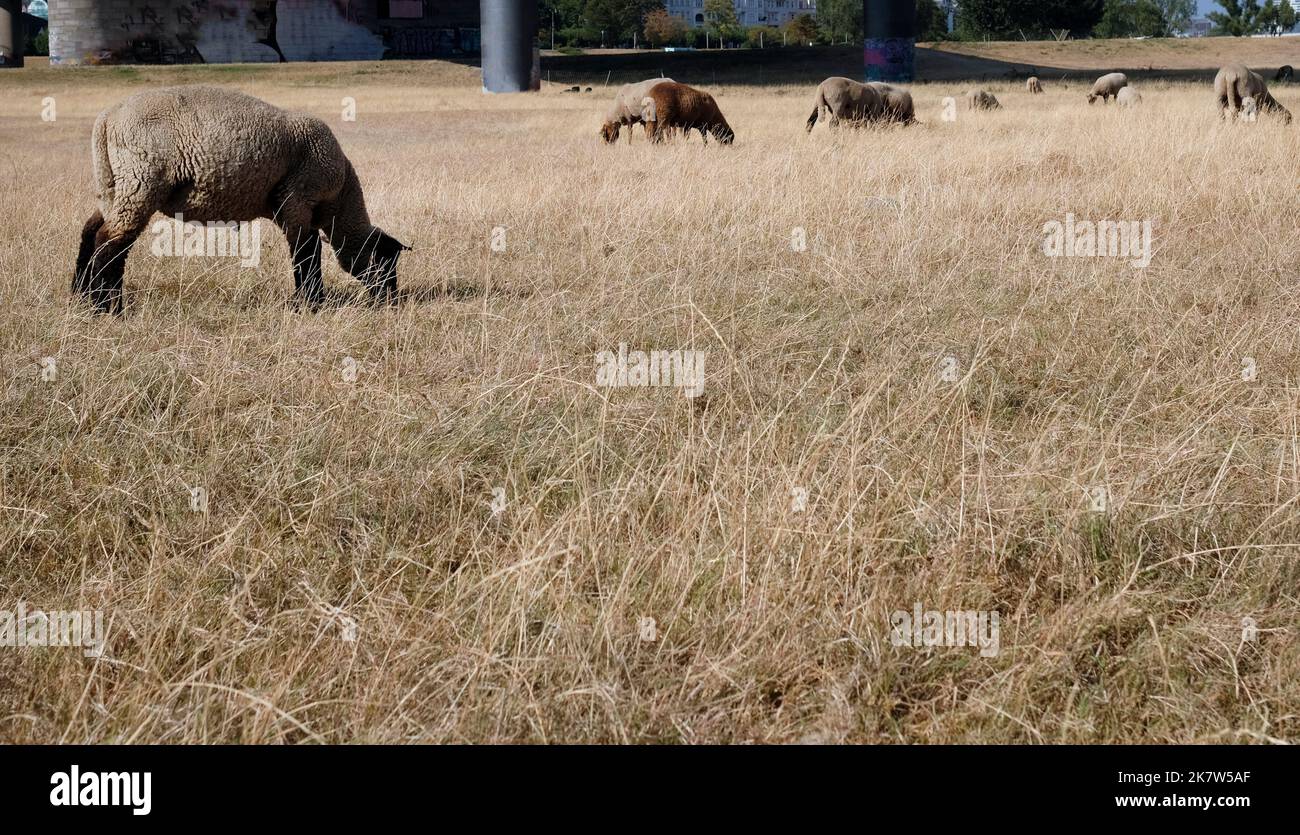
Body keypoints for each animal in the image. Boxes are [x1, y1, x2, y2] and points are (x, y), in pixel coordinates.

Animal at [73, 86, 408, 314]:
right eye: (385, 261)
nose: (391, 300)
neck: (338, 203)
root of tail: (107, 118)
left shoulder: (286, 207)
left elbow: (306, 251)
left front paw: (309, 301)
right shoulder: (298, 200)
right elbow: (306, 252)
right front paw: (311, 303)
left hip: (113, 186)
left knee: (91, 232)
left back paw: (80, 296)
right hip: (140, 182)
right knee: (110, 242)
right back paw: (107, 307)